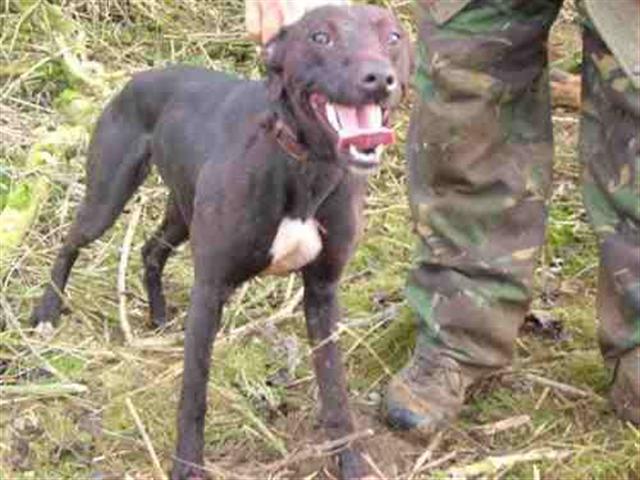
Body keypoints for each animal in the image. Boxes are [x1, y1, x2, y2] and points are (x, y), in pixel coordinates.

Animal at [31, 4, 410, 480]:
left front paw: (350, 461)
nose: (379, 78)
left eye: (394, 37)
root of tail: (138, 78)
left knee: (151, 249)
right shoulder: (210, 290)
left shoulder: (323, 292)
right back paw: (47, 310)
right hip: (108, 196)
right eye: (320, 36)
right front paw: (186, 466)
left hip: (181, 211)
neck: (306, 166)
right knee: (71, 241)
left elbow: (334, 390)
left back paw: (158, 315)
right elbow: (193, 396)